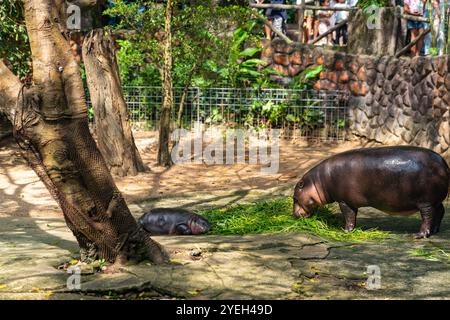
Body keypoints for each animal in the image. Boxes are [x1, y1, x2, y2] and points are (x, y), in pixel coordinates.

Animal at [294, 146, 448, 239]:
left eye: (294, 197)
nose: (294, 215)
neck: (318, 182)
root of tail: (443, 163)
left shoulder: (344, 201)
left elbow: (349, 217)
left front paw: (344, 230)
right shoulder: (351, 202)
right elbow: (353, 216)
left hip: (425, 202)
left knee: (427, 216)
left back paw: (419, 235)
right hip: (435, 200)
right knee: (440, 211)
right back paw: (435, 230)